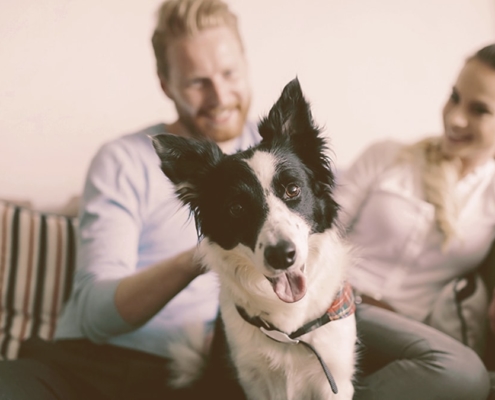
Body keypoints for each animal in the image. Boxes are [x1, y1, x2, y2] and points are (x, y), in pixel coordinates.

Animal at [152, 79, 356, 400]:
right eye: (236, 208)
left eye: (293, 189)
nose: (282, 255)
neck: (289, 332)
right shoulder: (251, 378)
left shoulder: (334, 379)